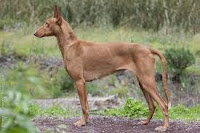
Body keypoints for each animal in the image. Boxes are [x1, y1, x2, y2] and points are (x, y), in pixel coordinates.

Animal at [34, 5, 170, 132]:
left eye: (47, 23)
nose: (34, 33)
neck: (70, 45)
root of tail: (148, 48)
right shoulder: (83, 83)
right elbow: (86, 105)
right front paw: (86, 121)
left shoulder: (79, 81)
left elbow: (83, 106)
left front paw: (81, 123)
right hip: (143, 83)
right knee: (152, 106)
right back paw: (146, 122)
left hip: (147, 82)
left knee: (164, 105)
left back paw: (164, 127)